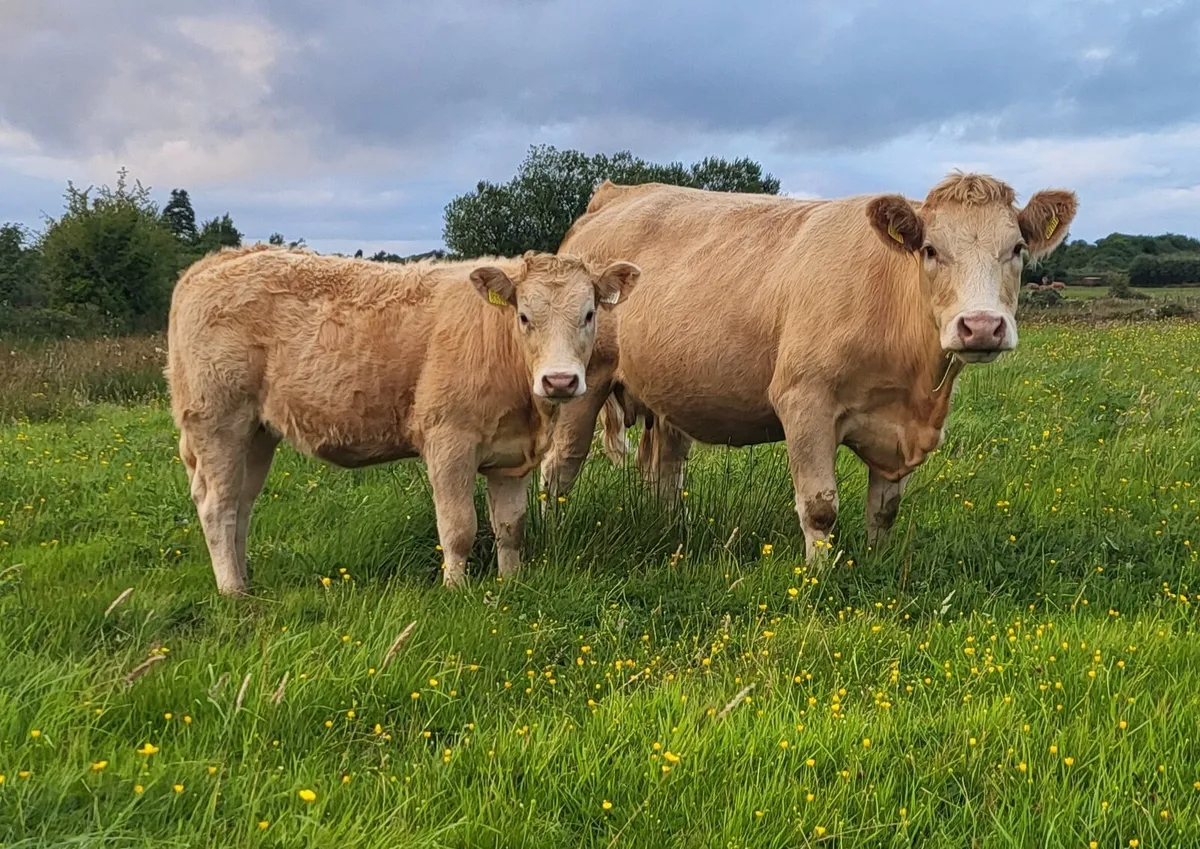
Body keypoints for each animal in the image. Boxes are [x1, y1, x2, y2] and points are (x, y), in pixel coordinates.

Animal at [166, 244, 639, 595]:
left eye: (589, 314)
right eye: (525, 317)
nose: (559, 380)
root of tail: (218, 260)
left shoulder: (511, 456)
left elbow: (510, 527)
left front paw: (511, 583)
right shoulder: (449, 441)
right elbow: (459, 527)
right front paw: (456, 591)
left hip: (257, 433)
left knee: (241, 504)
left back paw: (245, 581)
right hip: (218, 422)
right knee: (217, 505)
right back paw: (232, 591)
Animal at [539, 172, 1077, 560]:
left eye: (1017, 249)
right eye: (930, 250)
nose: (981, 326)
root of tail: (616, 194)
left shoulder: (897, 426)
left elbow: (886, 510)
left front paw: (878, 565)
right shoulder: (804, 401)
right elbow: (820, 507)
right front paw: (818, 578)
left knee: (665, 471)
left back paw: (676, 534)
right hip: (582, 384)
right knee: (560, 466)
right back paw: (550, 534)